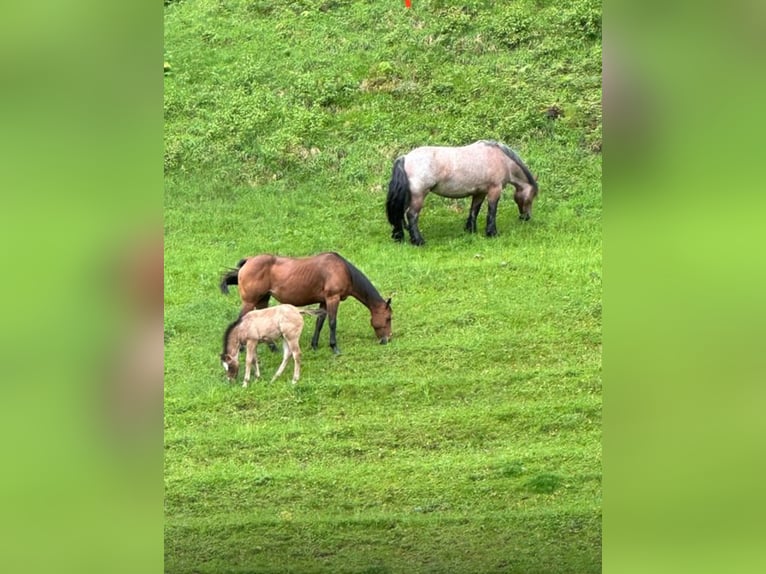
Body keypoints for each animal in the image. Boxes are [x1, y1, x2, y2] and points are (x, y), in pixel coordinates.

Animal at [219, 253, 392, 356]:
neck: (343, 270)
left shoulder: (323, 301)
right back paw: (241, 348)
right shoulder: (332, 298)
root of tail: (248, 261)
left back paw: (273, 348)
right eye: (389, 318)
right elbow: (332, 322)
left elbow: (320, 322)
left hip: (263, 300)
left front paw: (314, 345)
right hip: (249, 301)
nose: (388, 339)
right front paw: (334, 347)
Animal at [384, 142, 540, 248]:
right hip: (418, 196)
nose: (526, 217)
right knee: (411, 215)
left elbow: (474, 210)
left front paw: (471, 230)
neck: (502, 159)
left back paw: (399, 236)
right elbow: (492, 211)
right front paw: (492, 233)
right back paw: (418, 241)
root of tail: (405, 158)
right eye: (531, 197)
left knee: (399, 214)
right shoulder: (494, 190)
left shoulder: (479, 192)